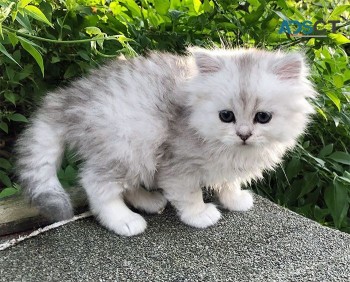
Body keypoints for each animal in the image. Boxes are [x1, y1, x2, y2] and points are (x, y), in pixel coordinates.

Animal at [16, 48, 316, 236]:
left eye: (263, 117)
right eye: (226, 116)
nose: (244, 134)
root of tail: (69, 98)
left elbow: (228, 182)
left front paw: (234, 199)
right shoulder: (178, 165)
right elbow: (190, 194)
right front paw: (200, 215)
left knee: (127, 185)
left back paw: (149, 202)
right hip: (130, 143)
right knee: (96, 184)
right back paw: (123, 220)